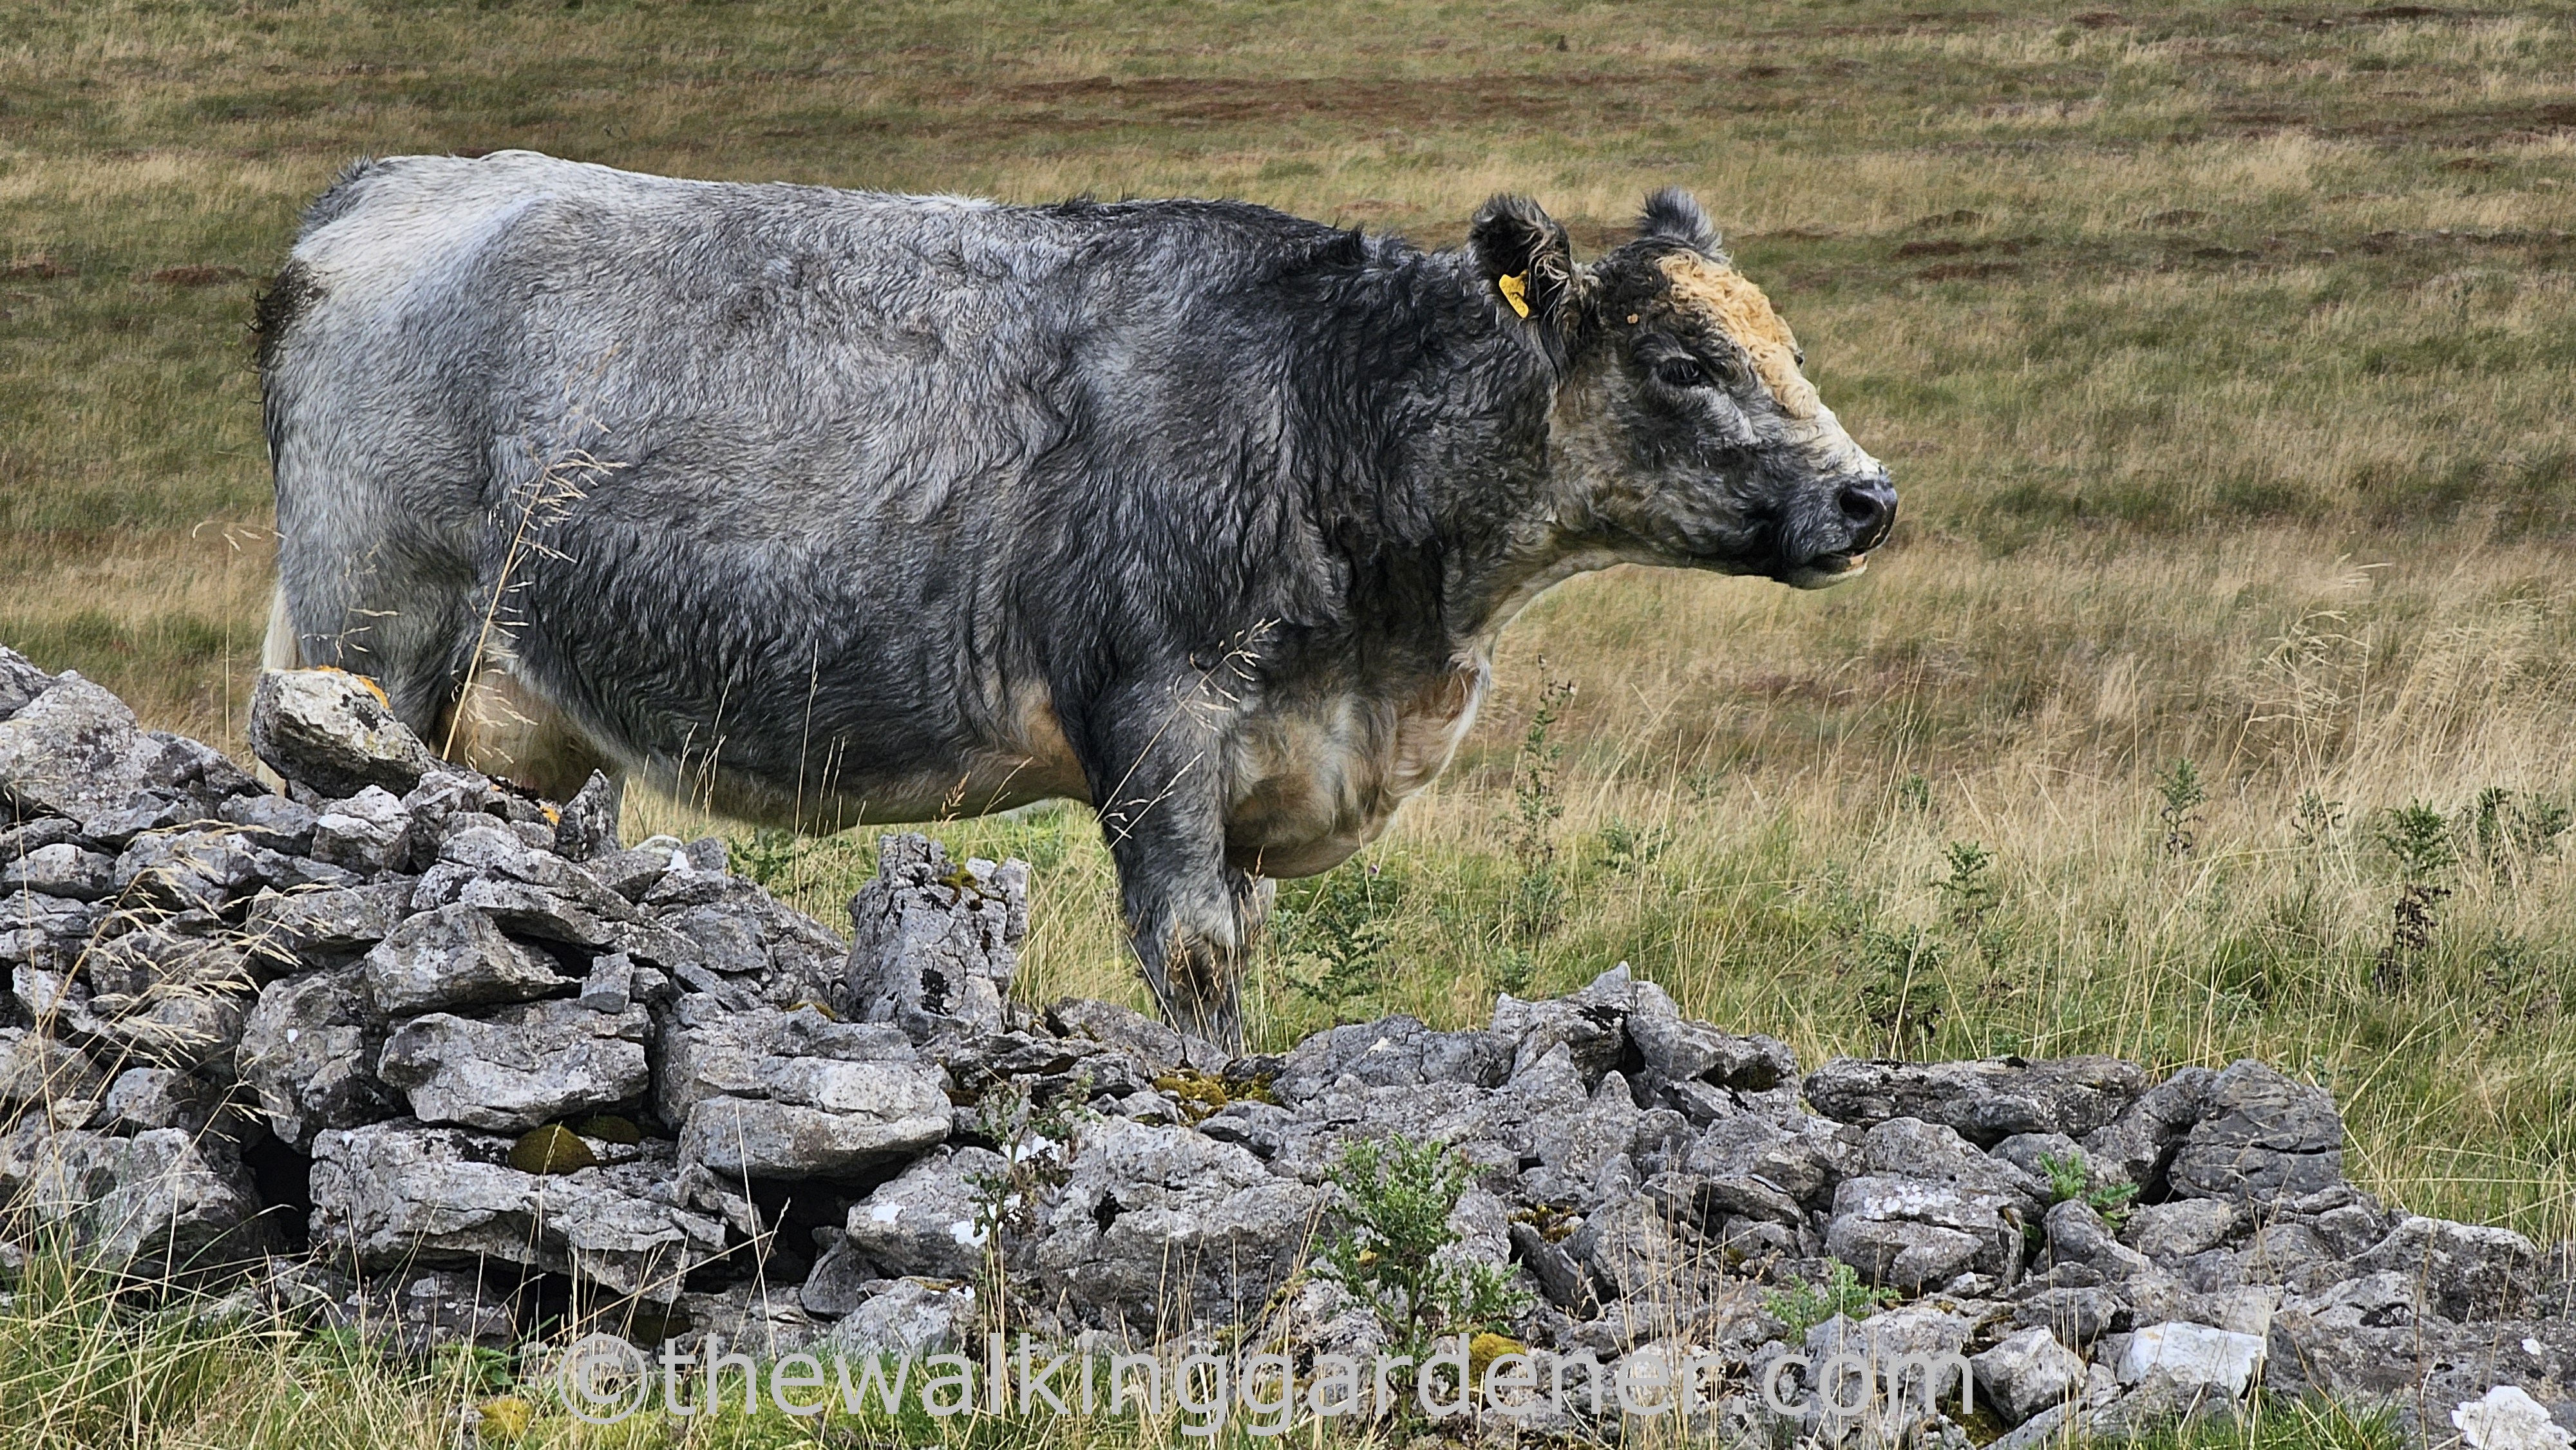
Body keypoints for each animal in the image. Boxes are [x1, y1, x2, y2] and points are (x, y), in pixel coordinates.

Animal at [256, 151, 1894, 1047]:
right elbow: (1193, 958)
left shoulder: (1260, 765)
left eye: (1785, 344)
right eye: (1681, 362)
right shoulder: (1163, 718)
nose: (1865, 497)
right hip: (372, 638)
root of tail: (390, 191)